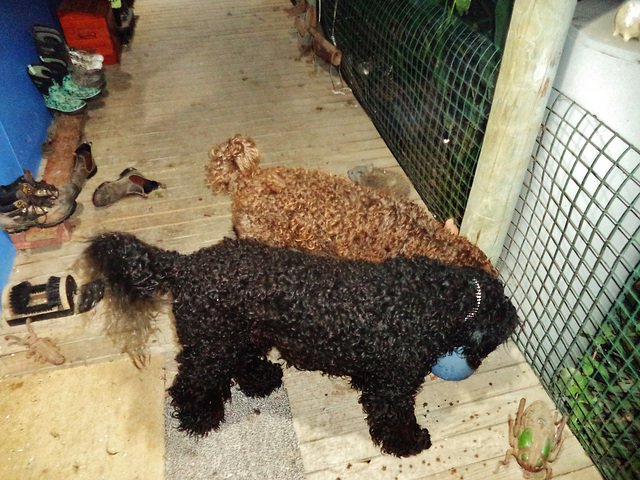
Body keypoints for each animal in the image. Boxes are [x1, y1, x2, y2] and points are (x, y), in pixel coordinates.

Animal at [82, 232, 516, 458]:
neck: (436, 299)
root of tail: (185, 265)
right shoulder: (394, 384)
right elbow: (394, 418)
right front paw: (409, 442)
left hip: (243, 337)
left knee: (242, 365)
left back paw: (261, 380)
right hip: (211, 346)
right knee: (190, 385)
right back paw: (199, 418)